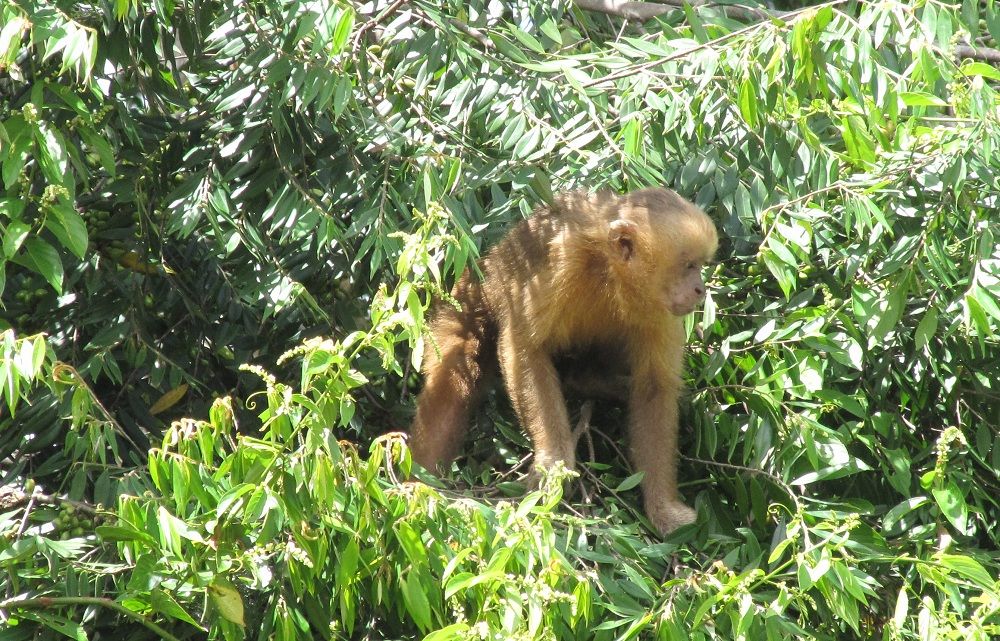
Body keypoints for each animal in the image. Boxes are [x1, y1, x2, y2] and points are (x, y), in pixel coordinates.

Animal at [408, 186, 720, 536]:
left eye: (700, 265)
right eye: (689, 265)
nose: (700, 289)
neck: (611, 274)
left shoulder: (659, 307)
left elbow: (654, 387)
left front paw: (663, 507)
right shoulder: (564, 258)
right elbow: (525, 346)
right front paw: (552, 461)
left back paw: (589, 381)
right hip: (470, 294)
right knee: (457, 364)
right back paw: (418, 483)